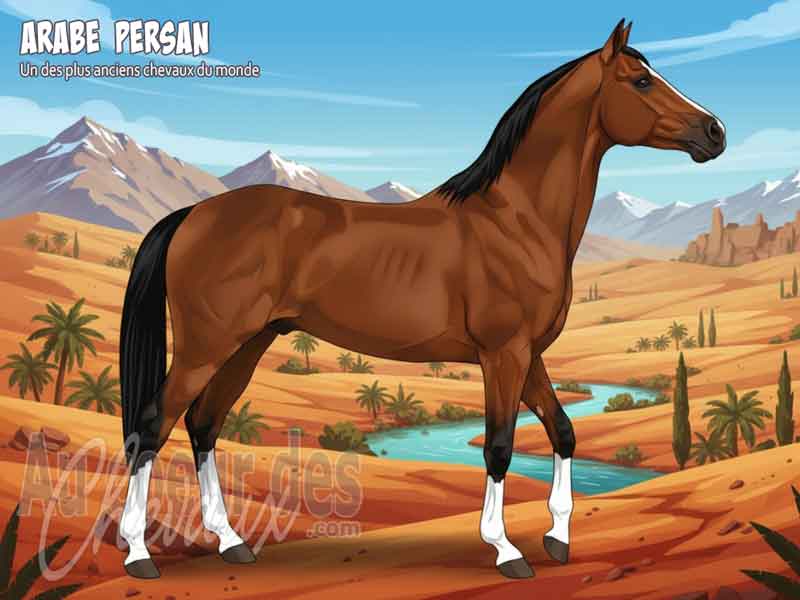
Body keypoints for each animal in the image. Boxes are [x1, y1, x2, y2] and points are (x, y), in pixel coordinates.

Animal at [117, 19, 725, 580]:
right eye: (642, 81)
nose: (715, 131)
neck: (516, 220)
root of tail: (192, 214)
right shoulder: (502, 355)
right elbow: (499, 446)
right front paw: (506, 551)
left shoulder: (529, 356)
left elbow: (564, 432)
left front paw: (558, 539)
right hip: (206, 346)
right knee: (153, 424)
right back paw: (140, 554)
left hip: (248, 343)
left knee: (204, 424)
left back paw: (231, 542)